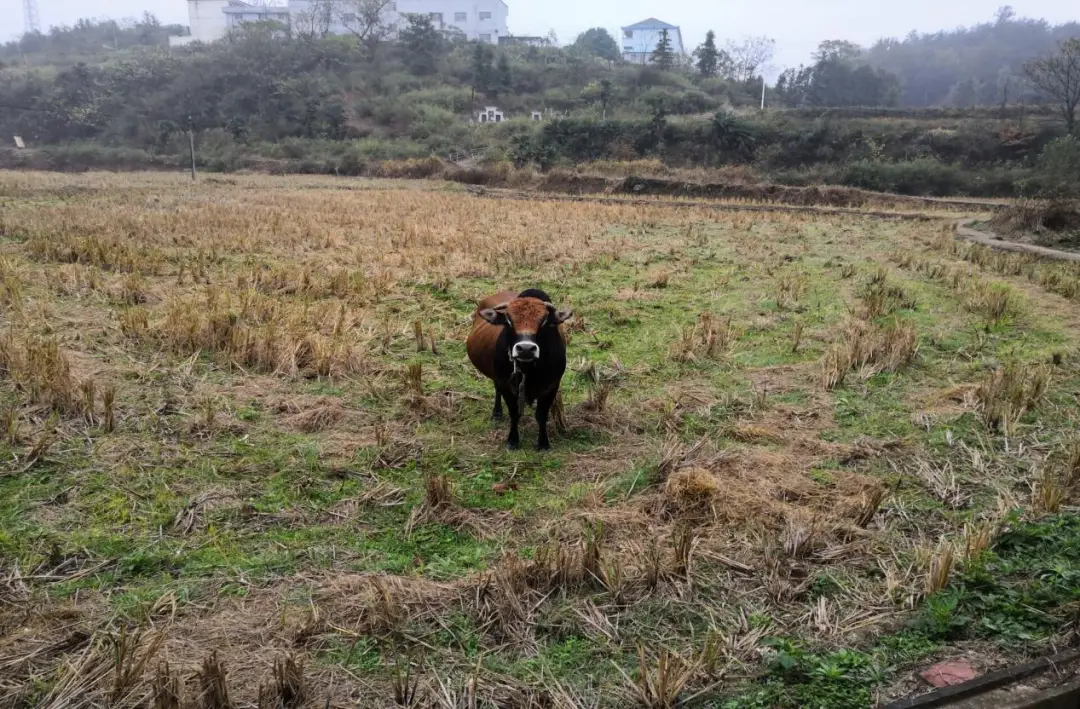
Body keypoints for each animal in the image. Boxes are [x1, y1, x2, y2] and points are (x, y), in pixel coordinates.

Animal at [468, 287, 578, 449]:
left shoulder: (552, 386)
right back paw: (497, 412)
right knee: (496, 389)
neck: (529, 369)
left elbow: (541, 415)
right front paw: (513, 440)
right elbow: (514, 413)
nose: (525, 349)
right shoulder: (505, 383)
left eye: (544, 321)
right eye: (508, 321)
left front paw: (543, 443)